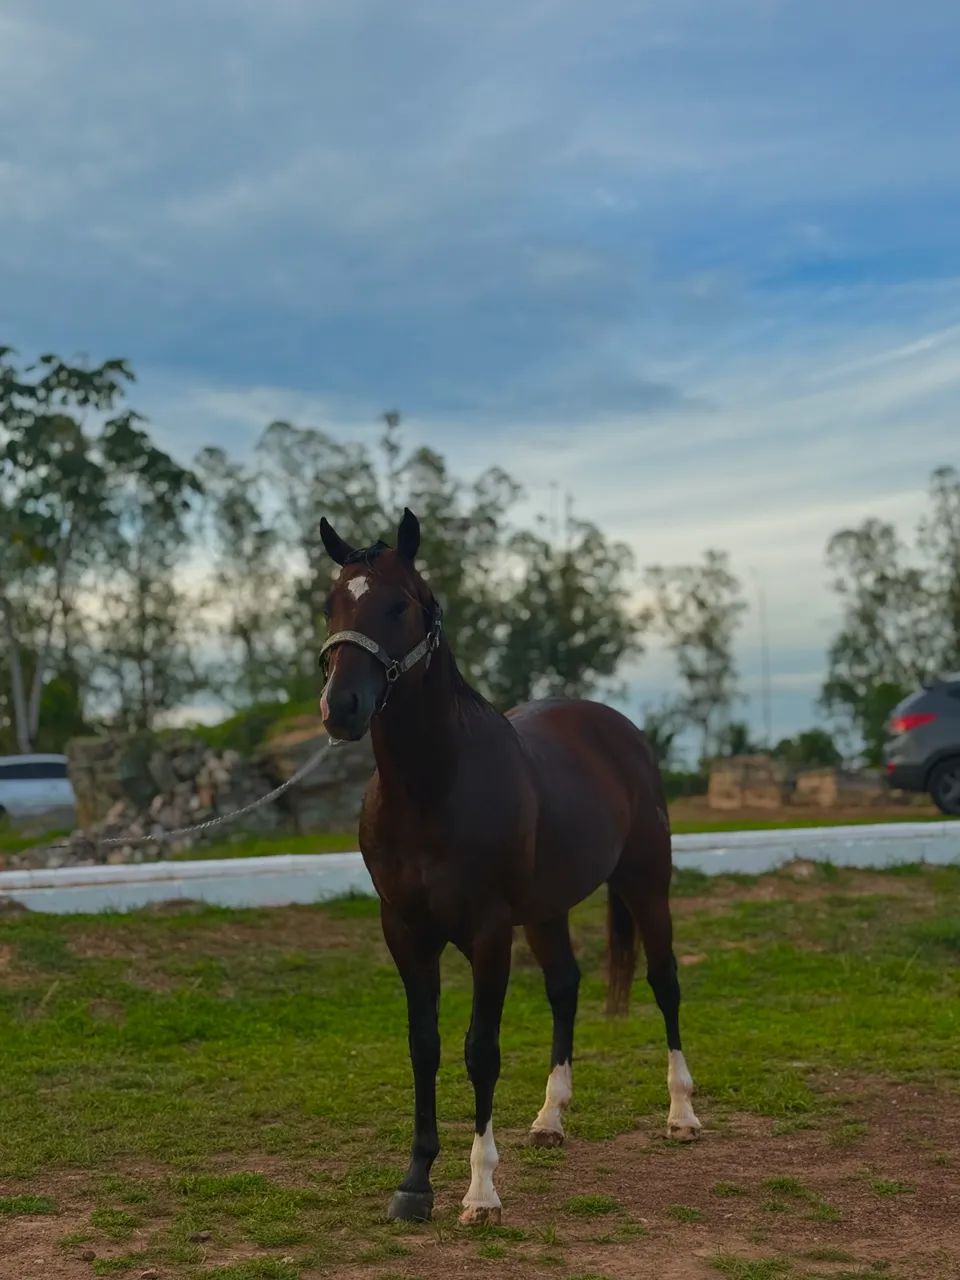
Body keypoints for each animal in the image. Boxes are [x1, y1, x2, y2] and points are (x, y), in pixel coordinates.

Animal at [317, 508, 701, 1226]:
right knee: (565, 986)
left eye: (399, 605)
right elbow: (425, 1046)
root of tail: (621, 731)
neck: (431, 789)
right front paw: (415, 1184)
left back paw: (683, 1114)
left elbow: (481, 1051)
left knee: (664, 982)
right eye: (331, 603)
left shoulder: (489, 932)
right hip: (547, 911)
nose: (341, 707)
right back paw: (551, 1118)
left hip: (646, 885)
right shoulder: (405, 932)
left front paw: (481, 1192)